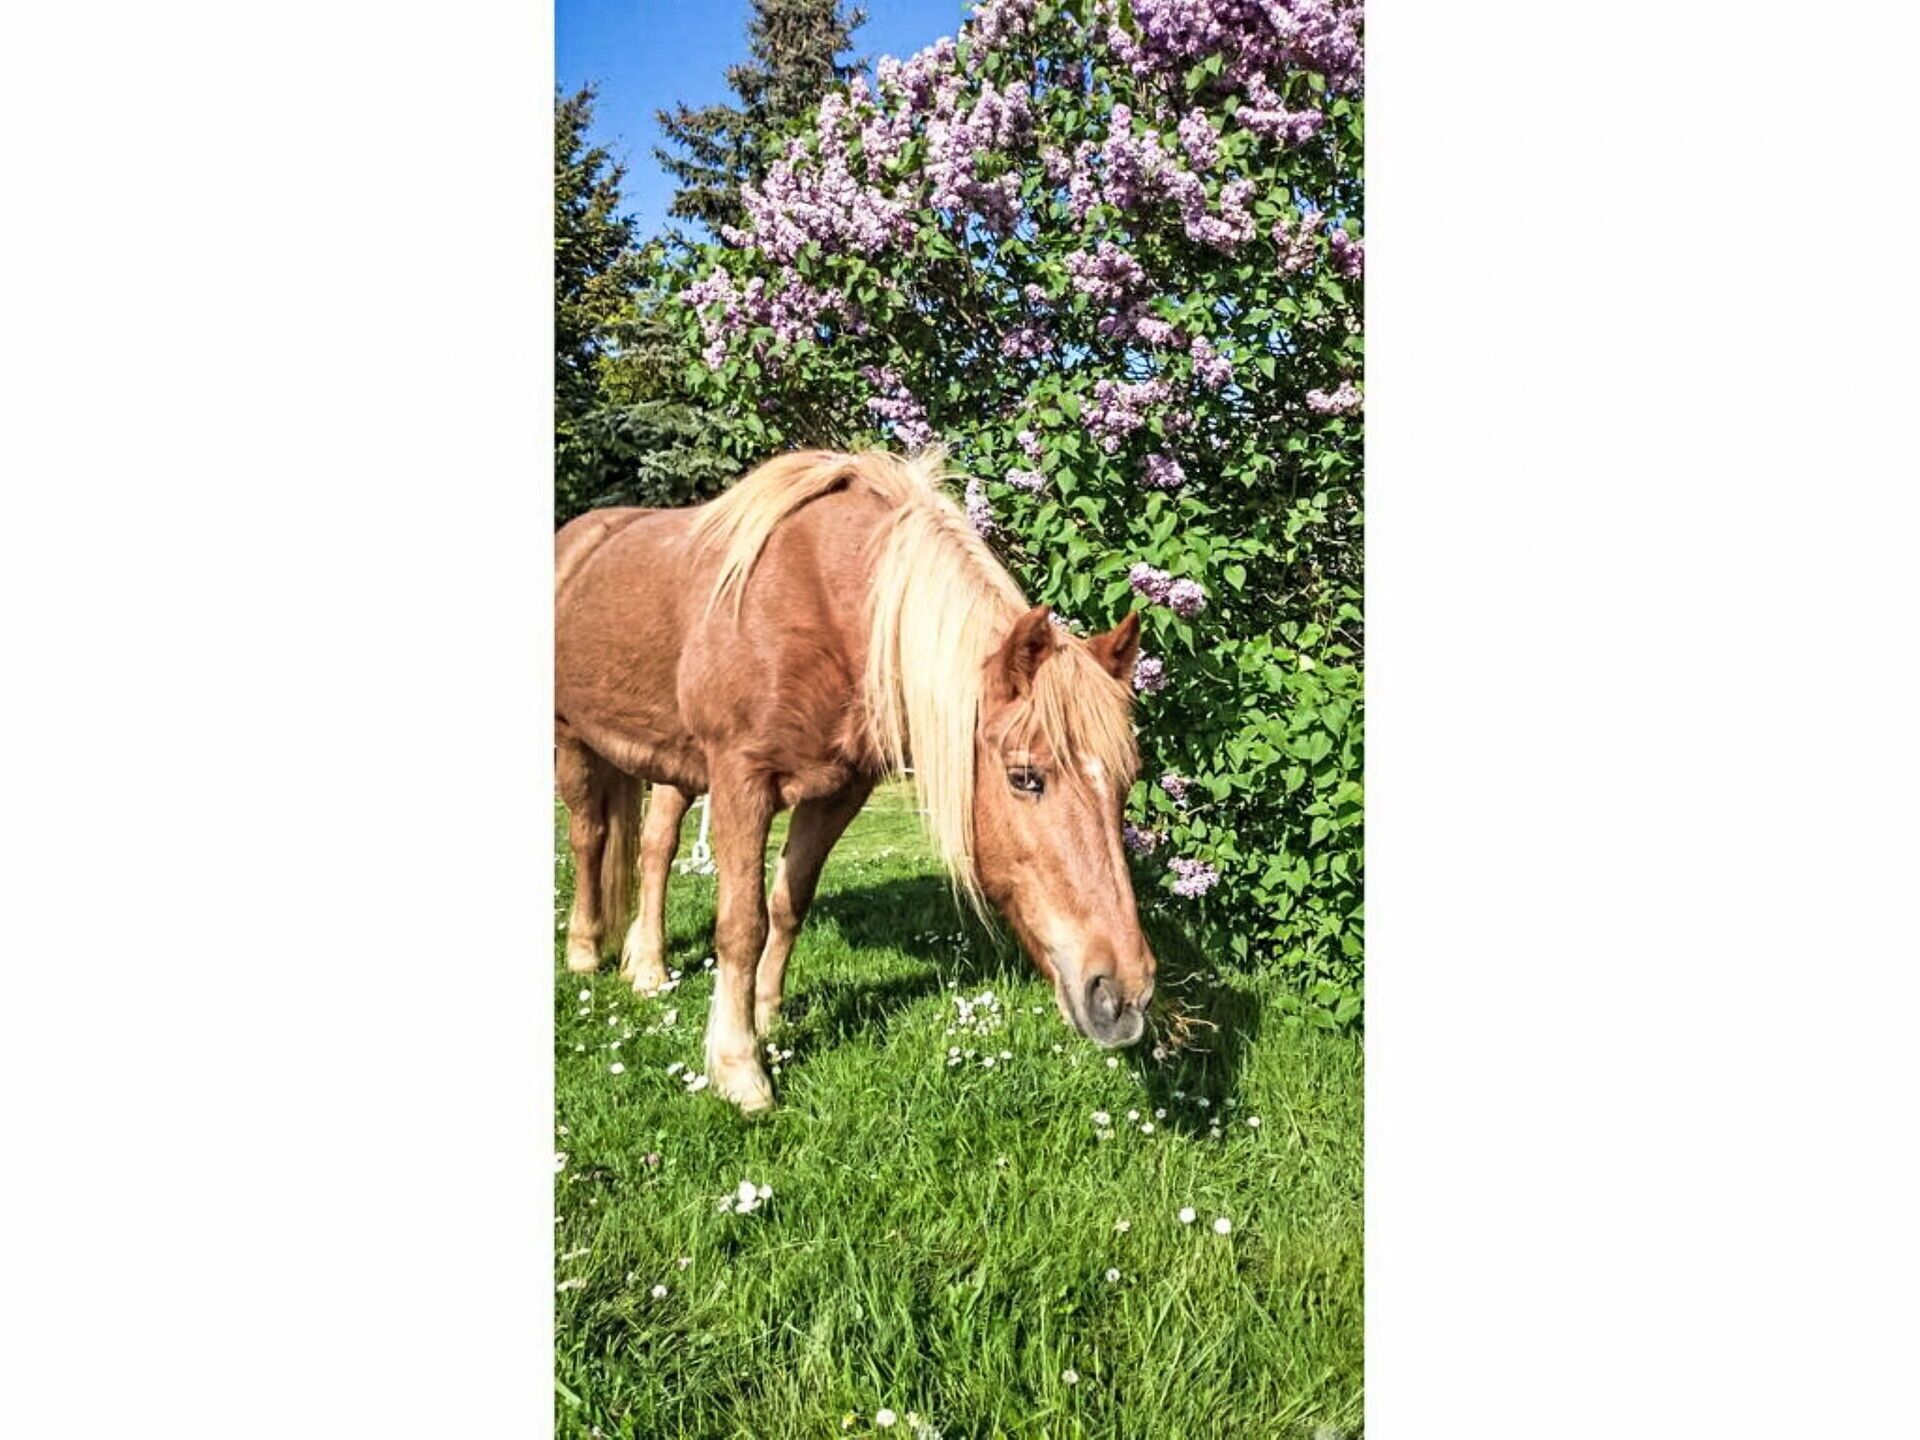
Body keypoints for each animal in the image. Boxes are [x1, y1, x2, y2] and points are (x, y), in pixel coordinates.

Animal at [554, 448, 1156, 1111]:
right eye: (1026, 777)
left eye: (1127, 782)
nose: (1123, 995)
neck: (826, 605)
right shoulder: (742, 779)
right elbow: (741, 924)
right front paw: (739, 1067)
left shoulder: (839, 791)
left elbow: (788, 904)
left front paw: (766, 1016)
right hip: (572, 740)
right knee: (589, 837)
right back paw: (585, 952)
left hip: (676, 767)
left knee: (656, 848)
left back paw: (648, 968)